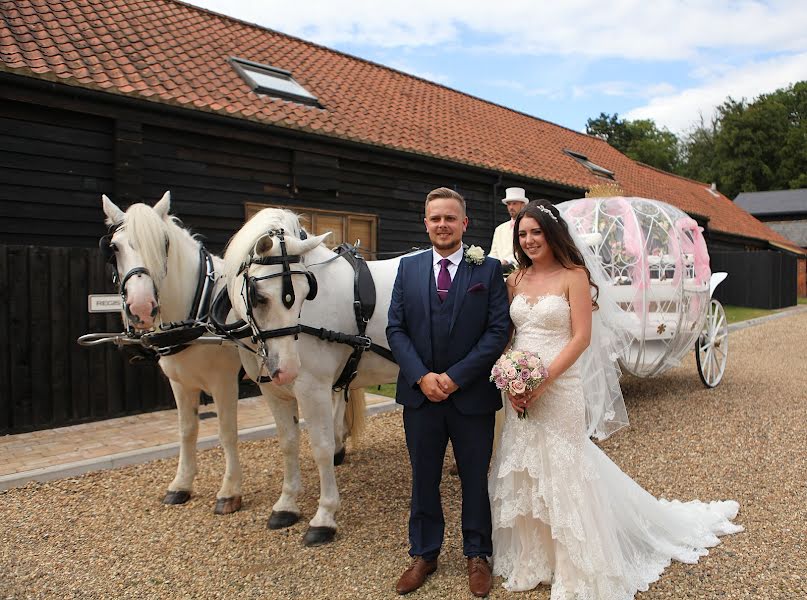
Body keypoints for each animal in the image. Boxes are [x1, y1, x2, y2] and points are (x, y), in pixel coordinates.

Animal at [223, 209, 402, 548]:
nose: (287, 369)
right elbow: (288, 443)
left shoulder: (313, 388)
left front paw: (324, 516)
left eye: (307, 293)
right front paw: (287, 503)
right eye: (258, 296)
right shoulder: (274, 394)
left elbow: (321, 446)